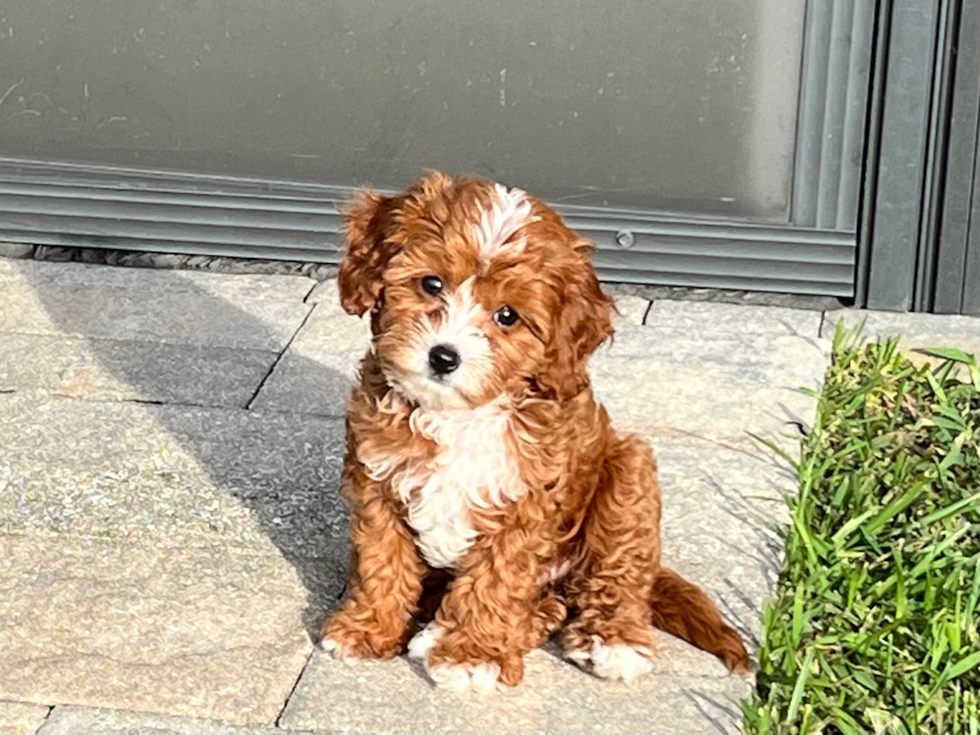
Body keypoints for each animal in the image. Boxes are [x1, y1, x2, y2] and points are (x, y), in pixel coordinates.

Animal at [322, 170, 752, 692]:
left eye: (507, 315)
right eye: (431, 283)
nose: (444, 356)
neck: (458, 416)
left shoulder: (524, 505)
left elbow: (495, 582)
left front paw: (472, 654)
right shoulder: (377, 480)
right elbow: (381, 561)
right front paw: (368, 628)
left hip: (628, 472)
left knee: (614, 575)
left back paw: (612, 642)